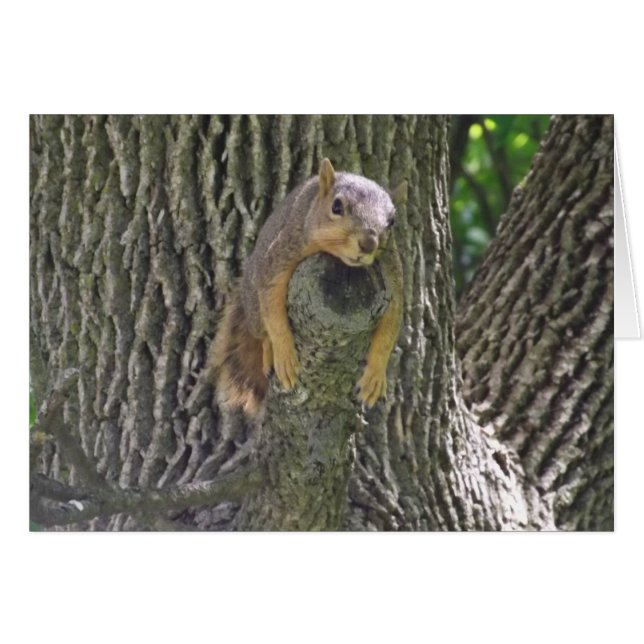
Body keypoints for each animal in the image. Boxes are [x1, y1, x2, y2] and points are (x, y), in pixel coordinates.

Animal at [210, 158, 407, 416]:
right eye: (336, 207)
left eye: (392, 221)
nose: (368, 243)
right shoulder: (282, 253)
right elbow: (273, 307)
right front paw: (284, 353)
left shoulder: (392, 275)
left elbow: (390, 329)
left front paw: (375, 376)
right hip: (253, 305)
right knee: (261, 330)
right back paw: (269, 351)